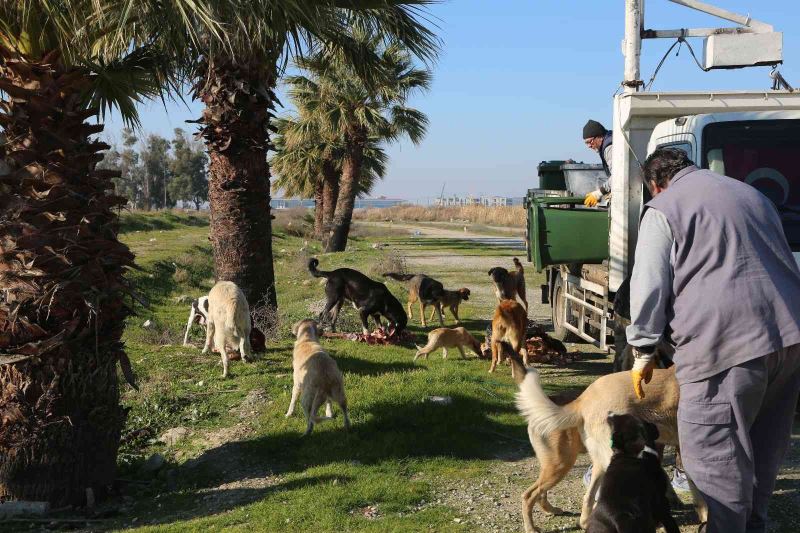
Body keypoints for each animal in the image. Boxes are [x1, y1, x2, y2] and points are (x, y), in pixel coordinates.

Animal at [510, 354, 704, 532]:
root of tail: (582, 399)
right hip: (564, 463)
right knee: (529, 495)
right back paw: (531, 527)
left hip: (586, 464)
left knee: (582, 497)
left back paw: (558, 513)